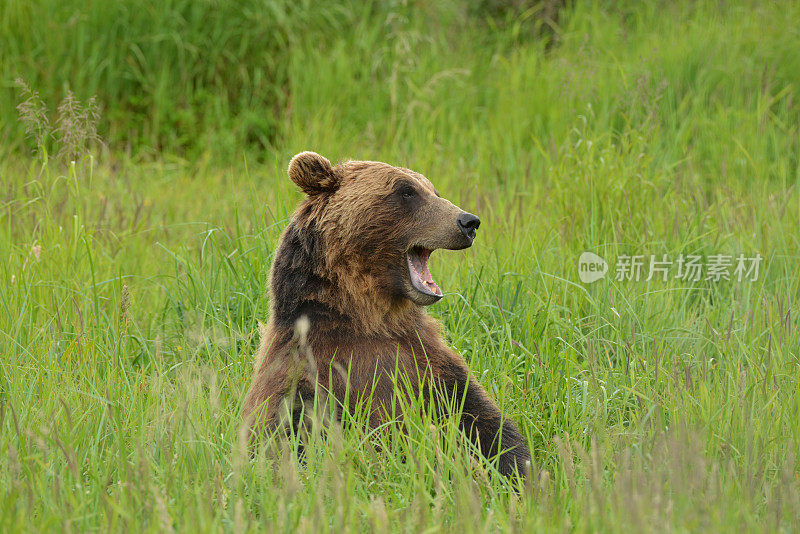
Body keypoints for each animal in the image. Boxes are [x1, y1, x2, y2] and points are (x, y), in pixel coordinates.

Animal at [244, 151, 532, 482]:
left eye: (433, 190)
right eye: (406, 191)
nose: (468, 222)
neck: (370, 318)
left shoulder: (429, 363)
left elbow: (483, 424)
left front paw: (513, 470)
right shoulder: (306, 366)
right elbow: (292, 437)